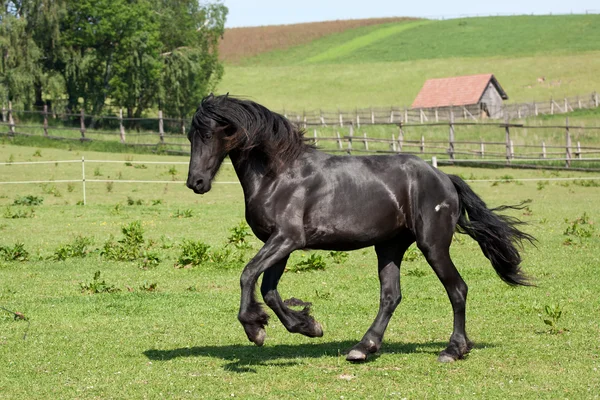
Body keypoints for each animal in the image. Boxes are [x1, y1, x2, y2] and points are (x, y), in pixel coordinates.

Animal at [185, 94, 532, 362]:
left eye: (207, 135)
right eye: (190, 137)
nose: (196, 183)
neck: (278, 174)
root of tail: (445, 177)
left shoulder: (287, 239)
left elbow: (247, 275)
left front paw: (254, 329)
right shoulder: (279, 243)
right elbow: (269, 291)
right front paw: (308, 325)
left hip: (432, 245)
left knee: (457, 289)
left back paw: (453, 350)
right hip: (389, 246)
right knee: (391, 296)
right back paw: (363, 347)